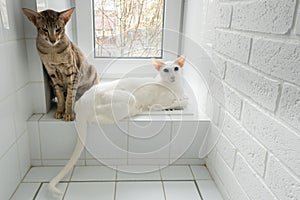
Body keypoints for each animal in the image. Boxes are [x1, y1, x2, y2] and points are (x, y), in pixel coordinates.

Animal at [48, 55, 186, 195]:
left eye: (176, 68)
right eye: (165, 70)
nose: (172, 77)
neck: (174, 87)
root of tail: (81, 105)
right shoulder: (162, 102)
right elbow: (180, 102)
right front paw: (176, 104)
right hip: (127, 99)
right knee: (99, 118)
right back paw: (137, 110)